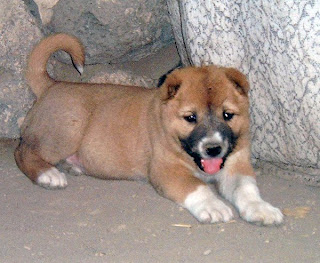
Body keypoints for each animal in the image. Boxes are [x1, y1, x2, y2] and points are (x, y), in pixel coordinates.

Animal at [15, 34, 282, 226]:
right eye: (190, 118)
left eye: (228, 115)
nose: (213, 149)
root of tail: (52, 85)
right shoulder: (167, 170)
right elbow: (197, 187)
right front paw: (214, 206)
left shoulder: (237, 164)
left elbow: (246, 189)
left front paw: (262, 208)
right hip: (66, 131)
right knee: (23, 152)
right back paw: (49, 175)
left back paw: (72, 166)